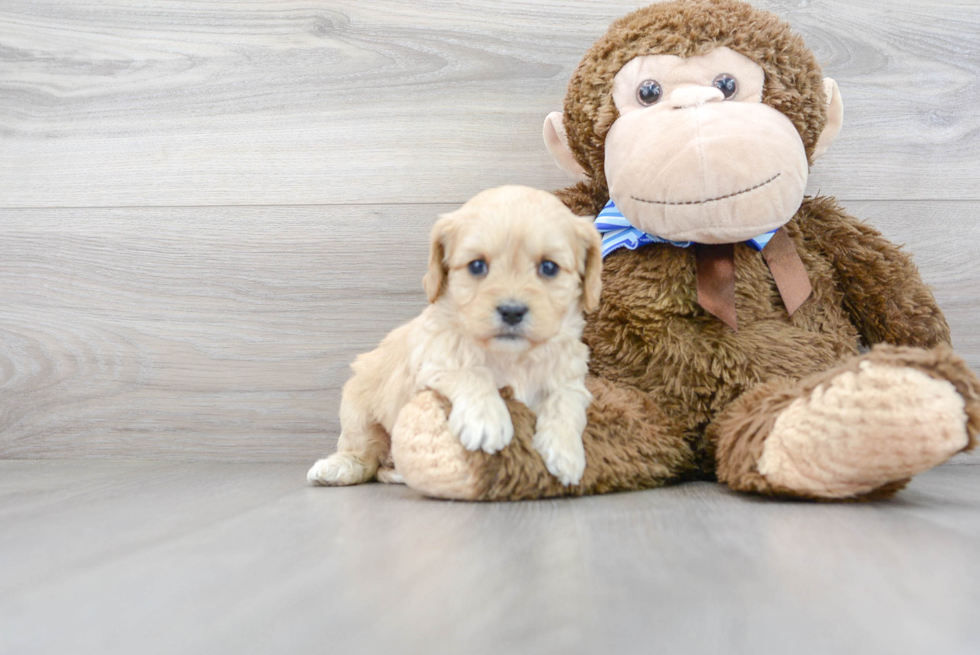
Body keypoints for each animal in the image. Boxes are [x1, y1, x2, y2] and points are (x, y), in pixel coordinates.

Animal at [306, 184, 600, 486]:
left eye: (549, 267)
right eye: (477, 266)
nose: (512, 311)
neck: (512, 357)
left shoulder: (572, 379)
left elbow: (566, 402)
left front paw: (566, 451)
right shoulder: (434, 362)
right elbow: (471, 372)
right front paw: (487, 419)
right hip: (357, 405)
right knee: (366, 454)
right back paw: (337, 467)